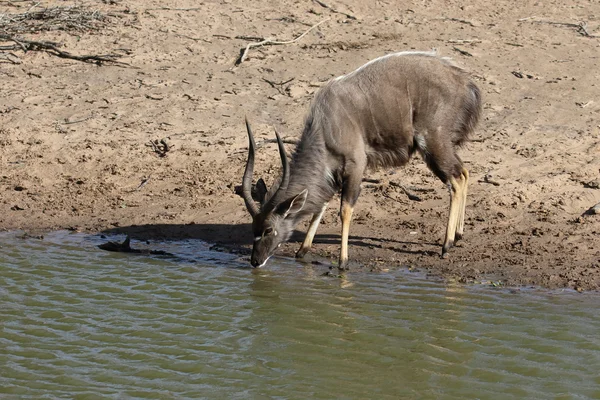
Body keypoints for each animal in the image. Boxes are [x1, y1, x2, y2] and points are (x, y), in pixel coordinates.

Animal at [237, 50, 480, 268]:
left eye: (268, 229)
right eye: (253, 228)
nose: (255, 261)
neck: (326, 125)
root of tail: (467, 83)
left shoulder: (355, 167)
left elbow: (344, 210)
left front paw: (342, 262)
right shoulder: (333, 174)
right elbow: (321, 206)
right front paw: (302, 250)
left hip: (432, 143)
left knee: (456, 179)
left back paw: (447, 244)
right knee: (464, 172)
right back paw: (458, 234)